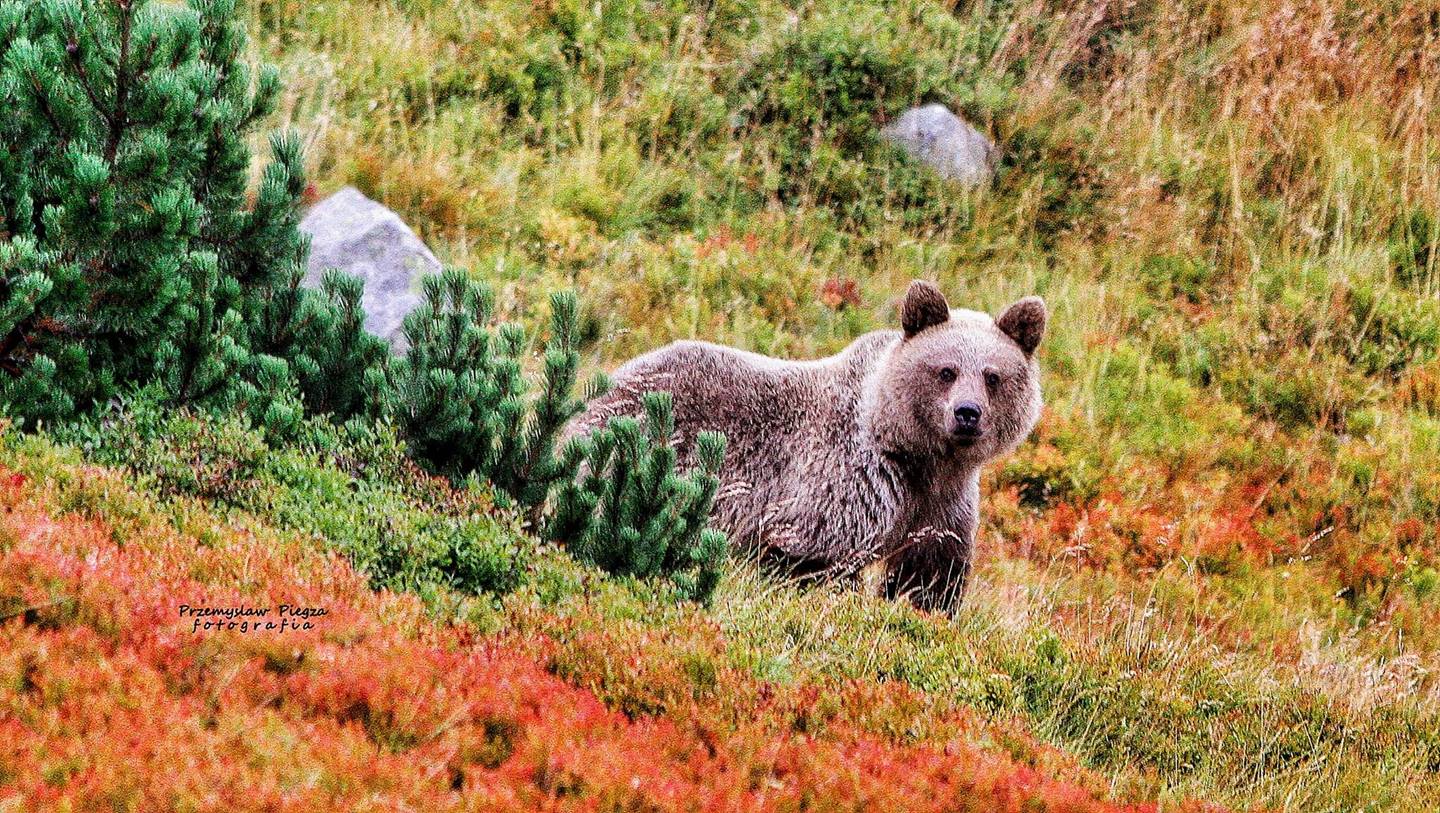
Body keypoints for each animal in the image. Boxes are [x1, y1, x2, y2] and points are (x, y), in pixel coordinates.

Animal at [561, 279, 1048, 610]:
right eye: (946, 370)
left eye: (992, 375)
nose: (967, 413)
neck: (918, 457)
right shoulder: (844, 481)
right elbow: (810, 555)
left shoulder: (942, 504)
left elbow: (929, 574)